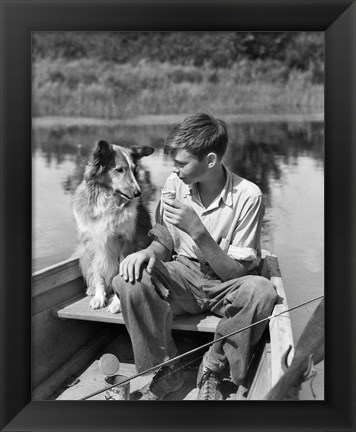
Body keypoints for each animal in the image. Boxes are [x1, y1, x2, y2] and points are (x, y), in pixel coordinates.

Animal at [73, 142, 154, 314]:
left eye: (134, 169)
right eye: (119, 169)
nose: (138, 193)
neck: (107, 201)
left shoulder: (126, 242)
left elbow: (121, 273)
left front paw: (117, 303)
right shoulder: (92, 243)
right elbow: (97, 273)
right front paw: (99, 297)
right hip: (83, 254)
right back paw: (91, 290)